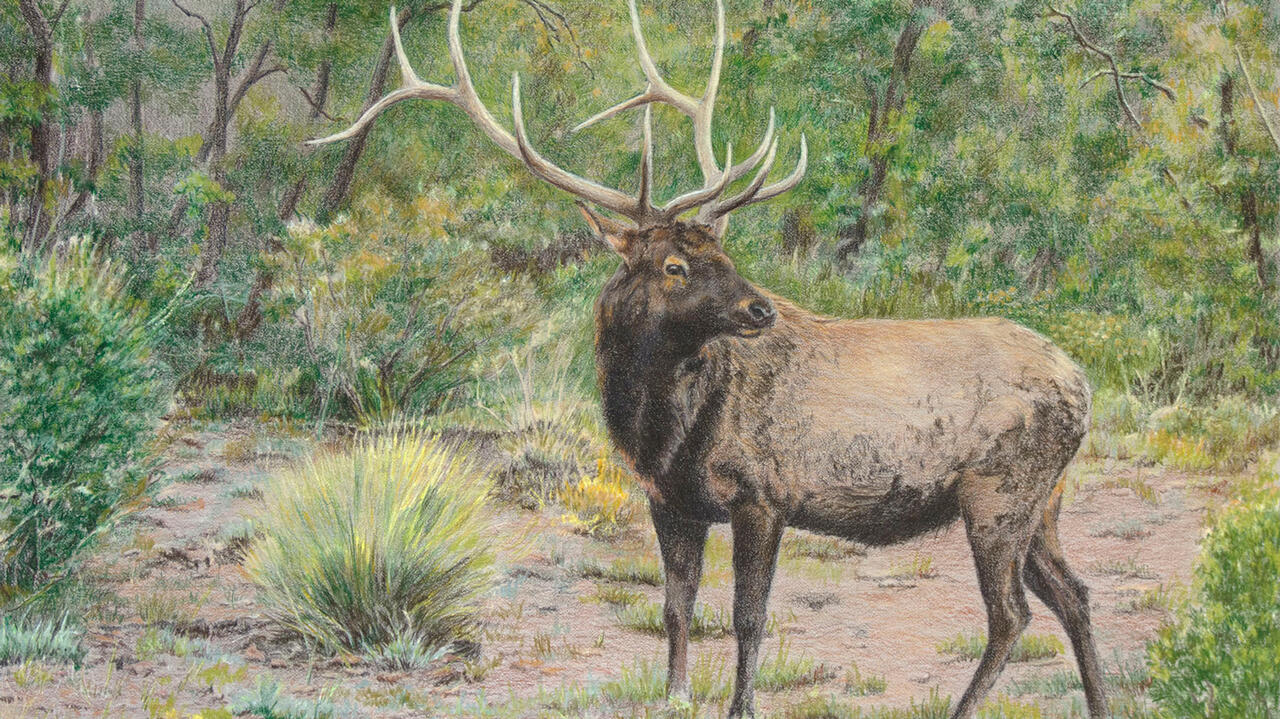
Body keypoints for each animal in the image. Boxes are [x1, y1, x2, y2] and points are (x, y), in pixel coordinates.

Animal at [309, 2, 1111, 711]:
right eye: (674, 264)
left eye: (724, 253)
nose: (762, 308)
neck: (662, 433)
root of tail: (1082, 384)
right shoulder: (670, 503)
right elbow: (676, 608)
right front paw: (674, 695)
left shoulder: (765, 494)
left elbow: (748, 618)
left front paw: (740, 706)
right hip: (1044, 501)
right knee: (1074, 594)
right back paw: (1102, 702)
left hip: (999, 492)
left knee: (1012, 615)